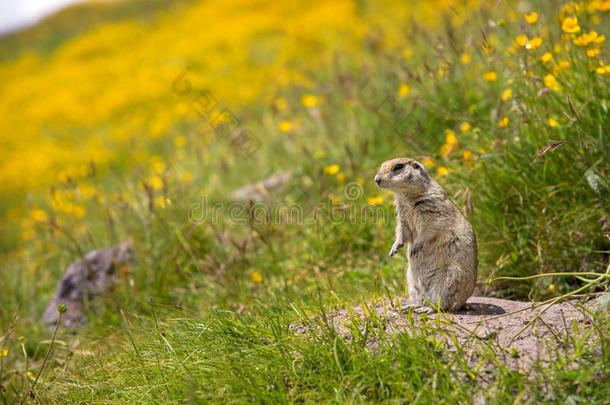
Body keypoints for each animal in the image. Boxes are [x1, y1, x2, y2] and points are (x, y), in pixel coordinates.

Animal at [372, 156, 478, 310]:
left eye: (398, 166)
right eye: (382, 165)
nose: (376, 179)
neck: (406, 196)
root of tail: (463, 303)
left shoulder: (433, 210)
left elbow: (430, 229)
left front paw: (415, 248)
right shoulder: (402, 217)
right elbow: (402, 232)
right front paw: (394, 249)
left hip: (450, 280)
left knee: (442, 306)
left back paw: (427, 309)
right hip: (412, 283)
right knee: (421, 300)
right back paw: (410, 306)